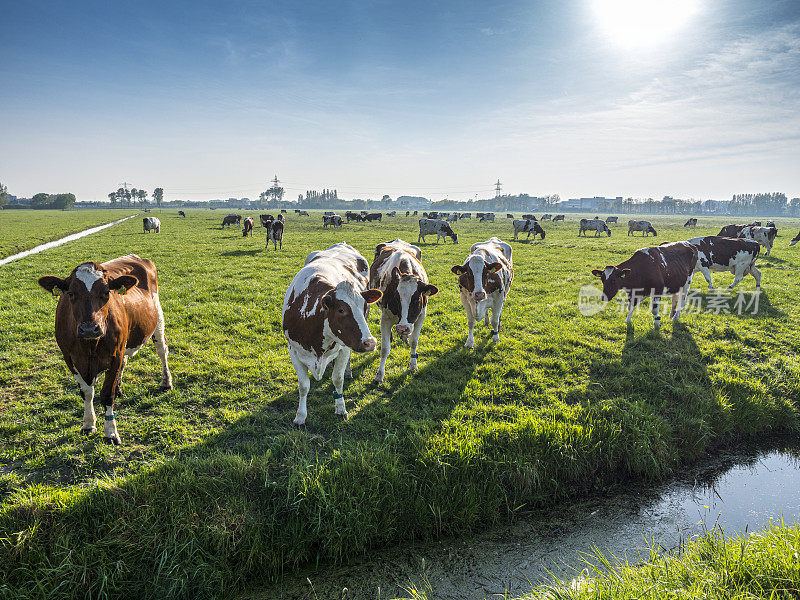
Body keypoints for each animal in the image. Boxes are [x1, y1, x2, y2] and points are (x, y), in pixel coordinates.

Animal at [37, 253, 172, 446]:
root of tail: (136, 257)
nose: (88, 328)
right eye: (70, 293)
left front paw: (110, 433)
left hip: (157, 319)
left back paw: (166, 382)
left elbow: (107, 394)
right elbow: (87, 392)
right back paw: (120, 387)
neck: (89, 346)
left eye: (106, 292)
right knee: (126, 362)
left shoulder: (114, 356)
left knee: (162, 350)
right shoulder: (70, 359)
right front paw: (88, 424)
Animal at [282, 241, 382, 424]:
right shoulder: (293, 350)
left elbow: (337, 379)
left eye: (364, 307)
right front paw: (300, 416)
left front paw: (341, 409)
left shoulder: (344, 348)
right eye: (341, 310)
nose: (370, 343)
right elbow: (303, 386)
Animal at [368, 238, 438, 382]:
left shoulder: (421, 316)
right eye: (396, 299)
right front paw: (379, 375)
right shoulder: (385, 318)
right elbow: (385, 349)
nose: (402, 328)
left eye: (416, 300)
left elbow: (414, 342)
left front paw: (413, 365)